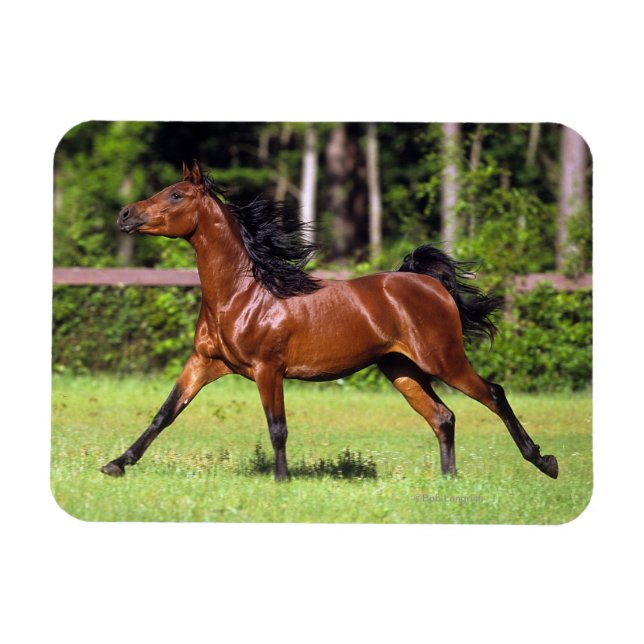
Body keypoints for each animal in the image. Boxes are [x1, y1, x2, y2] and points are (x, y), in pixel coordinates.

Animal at [101, 160, 558, 481]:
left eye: (176, 194)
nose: (124, 214)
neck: (243, 295)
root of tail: (430, 284)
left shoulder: (268, 369)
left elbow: (278, 427)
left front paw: (282, 481)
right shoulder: (205, 363)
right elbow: (165, 413)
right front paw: (117, 464)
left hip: (443, 360)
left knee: (494, 394)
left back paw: (544, 461)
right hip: (402, 370)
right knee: (443, 417)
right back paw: (449, 480)